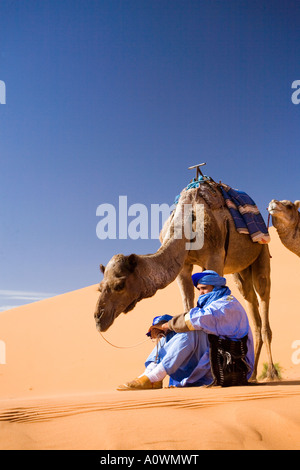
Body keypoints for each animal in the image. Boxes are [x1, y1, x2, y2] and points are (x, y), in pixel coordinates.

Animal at [95, 181, 278, 382]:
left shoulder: (215, 258)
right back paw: (252, 375)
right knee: (250, 301)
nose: (98, 317)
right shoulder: (183, 267)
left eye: (119, 285)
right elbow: (188, 308)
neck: (186, 221)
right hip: (240, 269)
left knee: (263, 296)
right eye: (99, 288)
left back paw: (271, 374)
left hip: (261, 251)